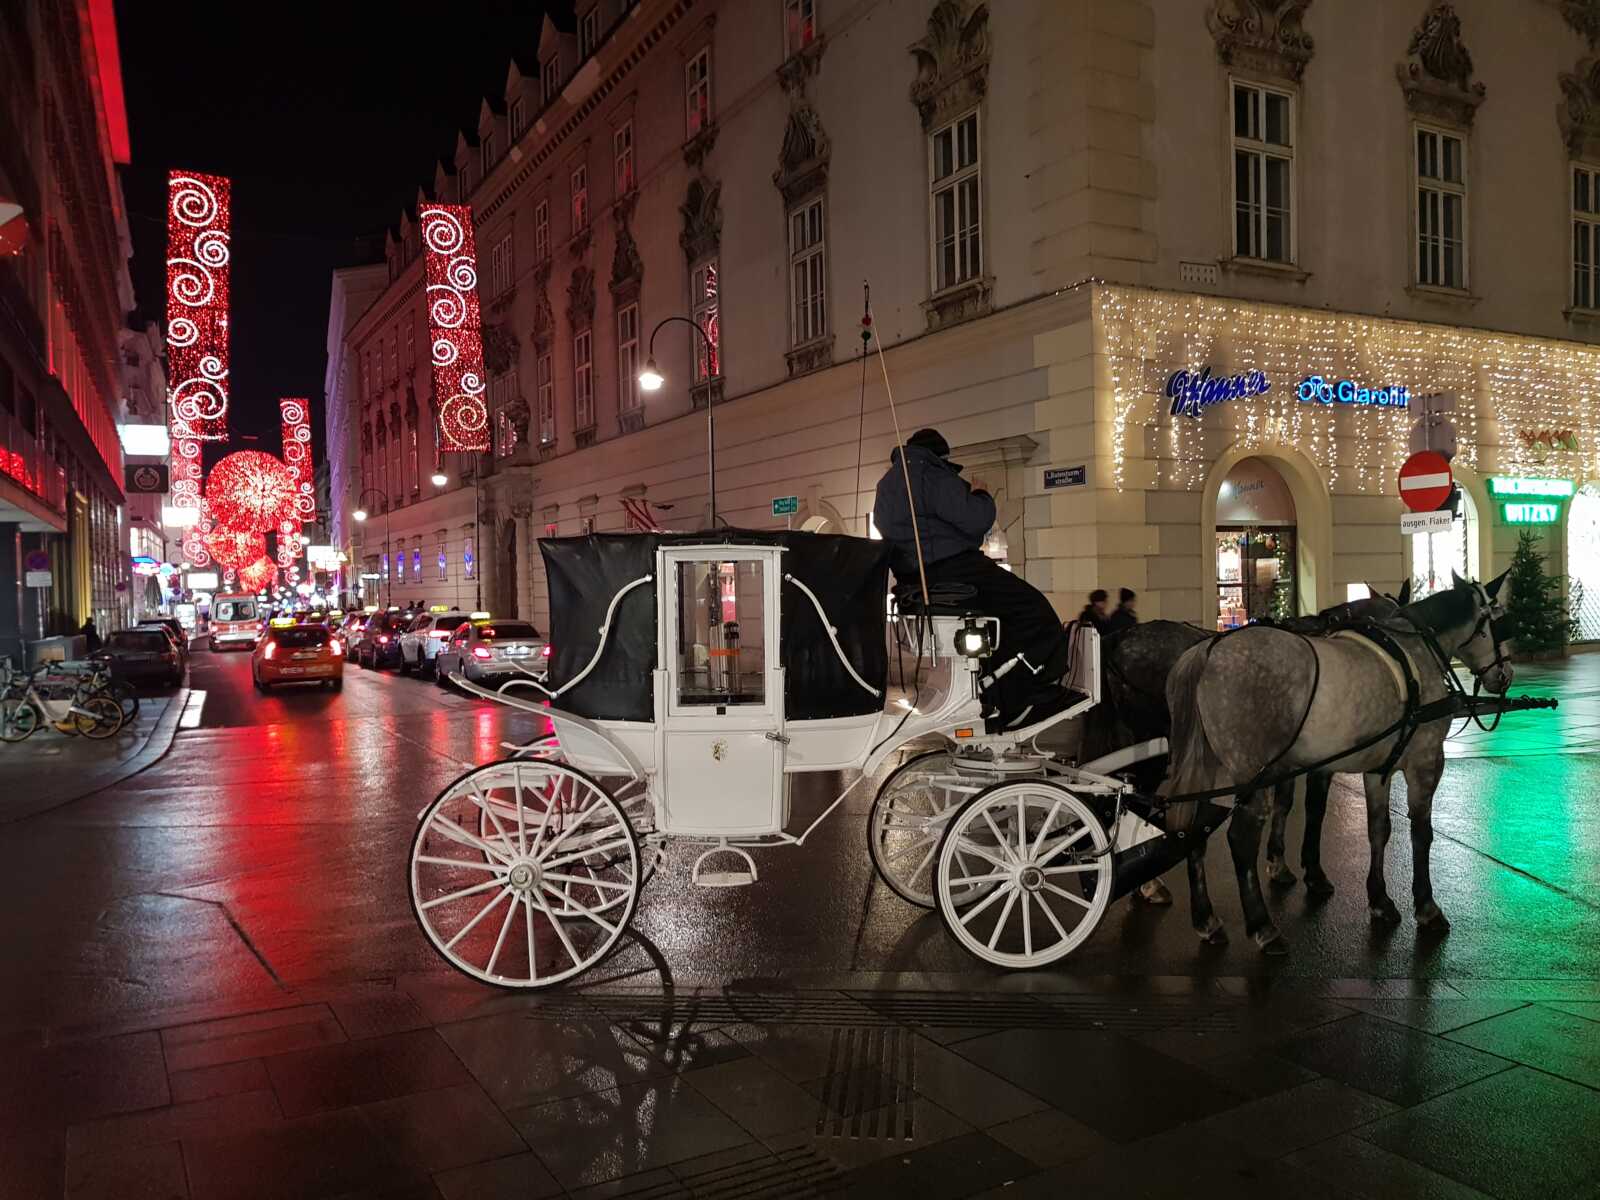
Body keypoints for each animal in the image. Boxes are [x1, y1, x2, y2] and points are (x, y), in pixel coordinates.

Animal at [1164, 579, 1510, 953]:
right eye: (1500, 619)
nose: (1505, 674)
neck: (1415, 648)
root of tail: (1208, 650)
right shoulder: (1425, 762)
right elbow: (1421, 833)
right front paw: (1426, 905)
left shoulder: (1377, 768)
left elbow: (1378, 829)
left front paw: (1379, 899)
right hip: (1252, 775)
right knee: (1241, 840)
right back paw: (1263, 926)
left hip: (1210, 771)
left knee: (1195, 833)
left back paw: (1207, 920)